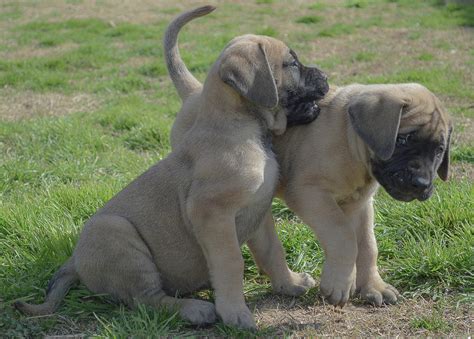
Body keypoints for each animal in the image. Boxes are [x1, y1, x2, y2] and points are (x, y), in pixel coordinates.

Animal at [16, 5, 332, 330]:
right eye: (291, 64)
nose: (325, 75)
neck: (243, 127)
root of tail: (74, 261)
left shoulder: (259, 210)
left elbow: (272, 251)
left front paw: (289, 283)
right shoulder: (211, 213)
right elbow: (231, 262)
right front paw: (235, 313)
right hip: (118, 234)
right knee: (146, 300)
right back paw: (195, 309)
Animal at [171, 81, 452, 308]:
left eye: (439, 151)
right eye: (403, 140)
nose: (421, 183)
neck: (349, 138)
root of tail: (197, 92)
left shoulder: (360, 205)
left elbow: (367, 245)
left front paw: (373, 286)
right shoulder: (309, 193)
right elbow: (343, 236)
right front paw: (338, 283)